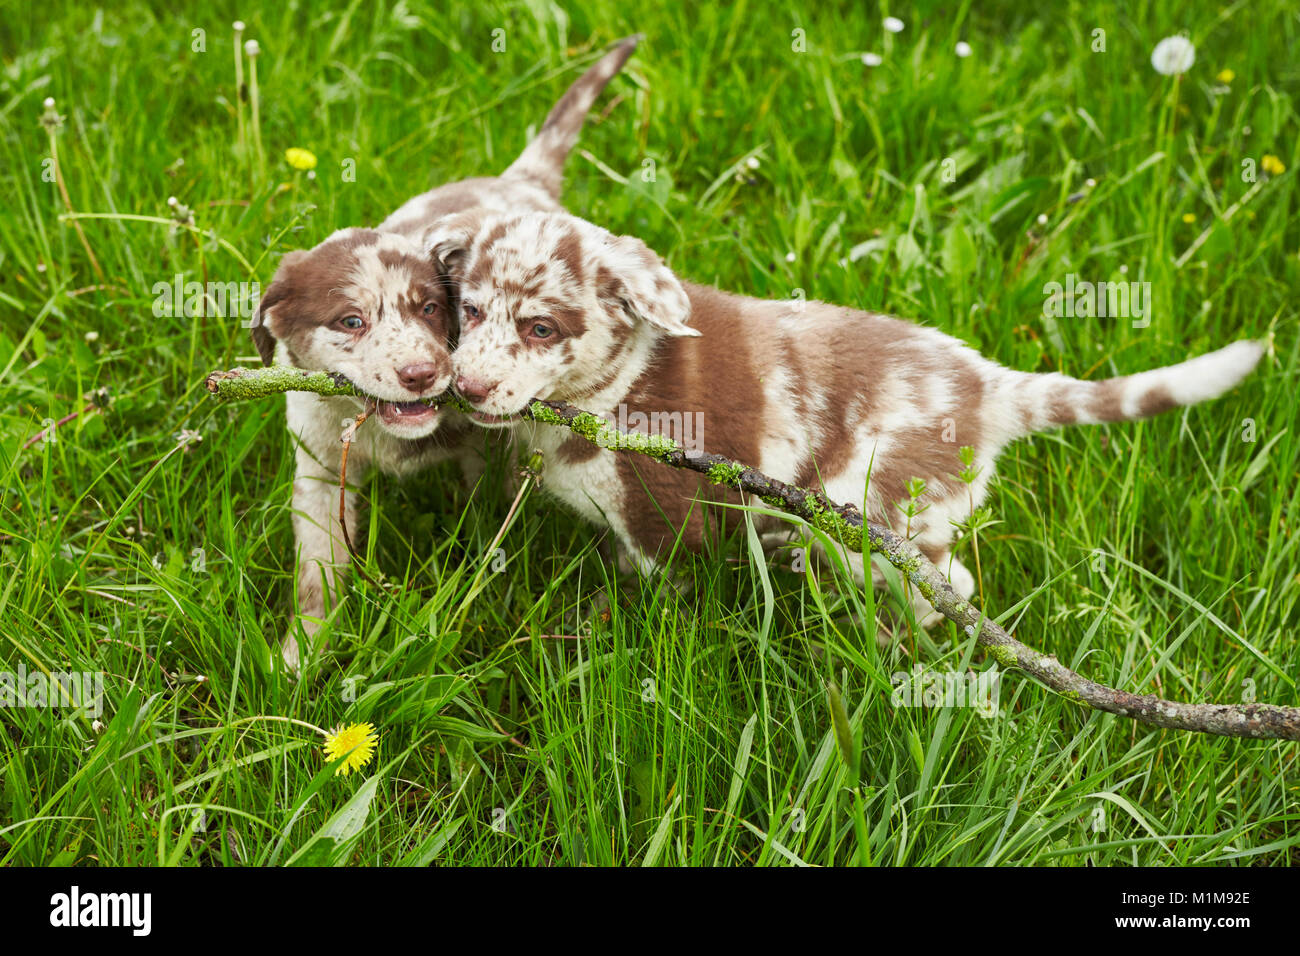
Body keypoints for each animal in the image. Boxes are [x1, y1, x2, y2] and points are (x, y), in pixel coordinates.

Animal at [249, 35, 639, 665]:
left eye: (432, 309)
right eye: (351, 320)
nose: (421, 374)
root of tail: (521, 181)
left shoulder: (489, 449)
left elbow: (486, 523)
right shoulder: (317, 465)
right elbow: (317, 569)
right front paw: (300, 655)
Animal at [431, 210, 1263, 621]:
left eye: (542, 328)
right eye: (468, 311)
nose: (465, 388)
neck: (606, 391)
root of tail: (988, 386)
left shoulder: (665, 525)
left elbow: (652, 592)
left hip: (870, 513)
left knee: (948, 587)